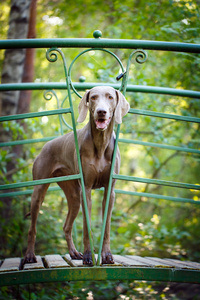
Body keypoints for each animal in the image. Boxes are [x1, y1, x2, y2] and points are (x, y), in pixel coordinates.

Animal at [24, 86, 130, 264]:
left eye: (110, 97)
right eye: (93, 97)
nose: (101, 112)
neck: (100, 143)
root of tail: (45, 146)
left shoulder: (110, 191)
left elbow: (107, 226)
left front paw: (106, 255)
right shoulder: (86, 189)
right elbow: (87, 226)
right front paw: (88, 255)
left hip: (73, 196)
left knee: (66, 226)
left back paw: (73, 253)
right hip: (38, 192)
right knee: (32, 228)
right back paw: (30, 255)